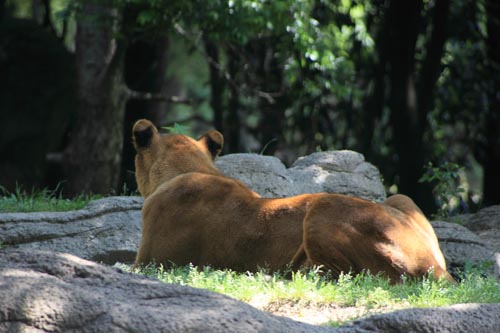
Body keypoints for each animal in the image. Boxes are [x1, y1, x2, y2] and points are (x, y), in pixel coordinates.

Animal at [132, 118, 454, 282]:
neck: (191, 168)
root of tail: (434, 266)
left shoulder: (151, 261)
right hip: (402, 198)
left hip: (322, 207)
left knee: (343, 274)